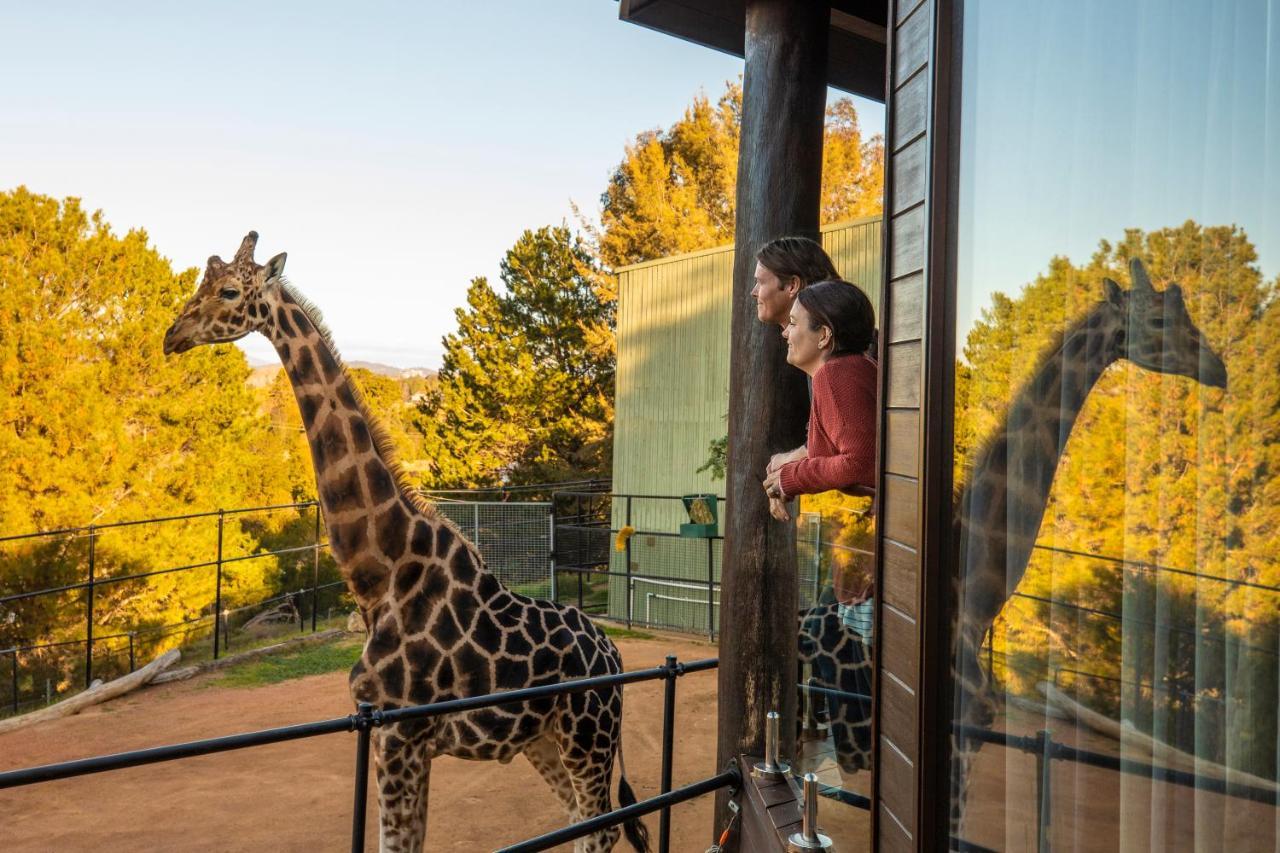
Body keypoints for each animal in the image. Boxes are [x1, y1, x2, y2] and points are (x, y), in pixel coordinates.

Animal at [163, 232, 650, 853]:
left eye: (228, 290)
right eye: (202, 282)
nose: (172, 335)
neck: (382, 575)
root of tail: (615, 651)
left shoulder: (401, 733)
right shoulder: (396, 736)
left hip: (588, 737)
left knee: (602, 829)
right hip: (544, 741)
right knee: (585, 822)